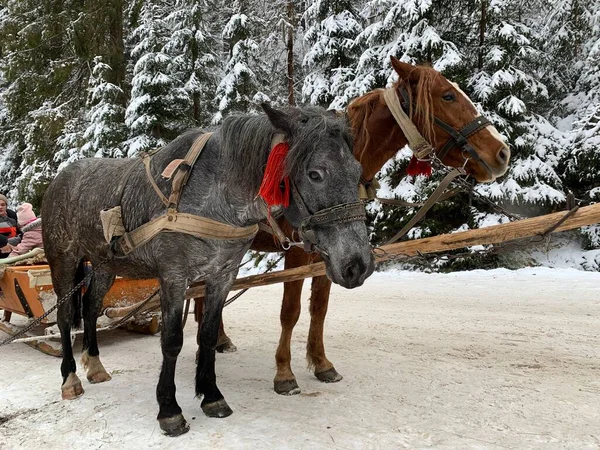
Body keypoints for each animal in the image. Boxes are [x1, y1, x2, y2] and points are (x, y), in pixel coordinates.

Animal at [41, 104, 376, 436]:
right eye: (315, 174)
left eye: (357, 172)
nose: (358, 265)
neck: (213, 197)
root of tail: (58, 180)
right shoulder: (174, 277)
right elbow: (172, 341)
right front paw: (169, 410)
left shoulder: (222, 275)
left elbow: (208, 335)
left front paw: (211, 396)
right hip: (63, 261)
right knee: (65, 316)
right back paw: (70, 378)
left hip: (105, 266)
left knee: (90, 308)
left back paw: (96, 366)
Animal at [193, 57, 510, 394]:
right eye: (448, 96)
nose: (502, 152)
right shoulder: (299, 252)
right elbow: (290, 311)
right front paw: (284, 372)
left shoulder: (333, 254)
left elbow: (319, 308)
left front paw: (321, 363)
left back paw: (218, 340)